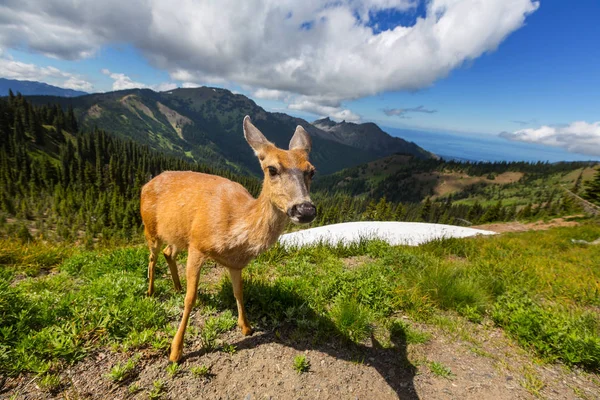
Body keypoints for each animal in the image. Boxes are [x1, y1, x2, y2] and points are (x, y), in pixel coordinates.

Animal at [141, 115, 318, 362]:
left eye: (311, 171)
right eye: (272, 169)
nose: (305, 210)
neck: (233, 227)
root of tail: (146, 183)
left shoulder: (235, 263)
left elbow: (239, 291)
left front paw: (246, 327)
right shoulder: (197, 243)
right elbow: (190, 298)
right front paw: (175, 351)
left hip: (176, 235)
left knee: (168, 253)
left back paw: (176, 286)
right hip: (150, 228)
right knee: (152, 258)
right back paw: (150, 292)